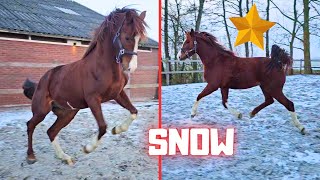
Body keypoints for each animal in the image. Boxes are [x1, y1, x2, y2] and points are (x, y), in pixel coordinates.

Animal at [22, 8, 148, 166]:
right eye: (127, 37)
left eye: (139, 39)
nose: (130, 67)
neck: (102, 67)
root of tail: (42, 80)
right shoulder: (93, 99)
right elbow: (102, 127)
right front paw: (87, 148)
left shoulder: (118, 94)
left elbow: (134, 112)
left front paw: (117, 129)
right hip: (41, 111)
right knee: (30, 125)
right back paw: (31, 156)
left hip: (68, 113)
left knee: (51, 132)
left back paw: (65, 157)